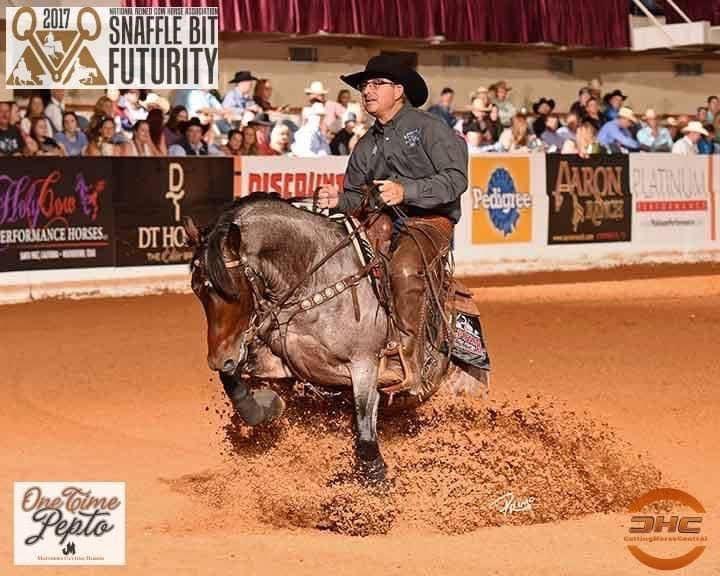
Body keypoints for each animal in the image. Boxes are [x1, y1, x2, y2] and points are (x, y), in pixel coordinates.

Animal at [184, 194, 487, 482]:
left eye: (232, 290)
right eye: (196, 289)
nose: (219, 359)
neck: (314, 282)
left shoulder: (365, 365)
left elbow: (365, 435)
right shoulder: (283, 363)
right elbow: (233, 379)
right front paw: (267, 406)